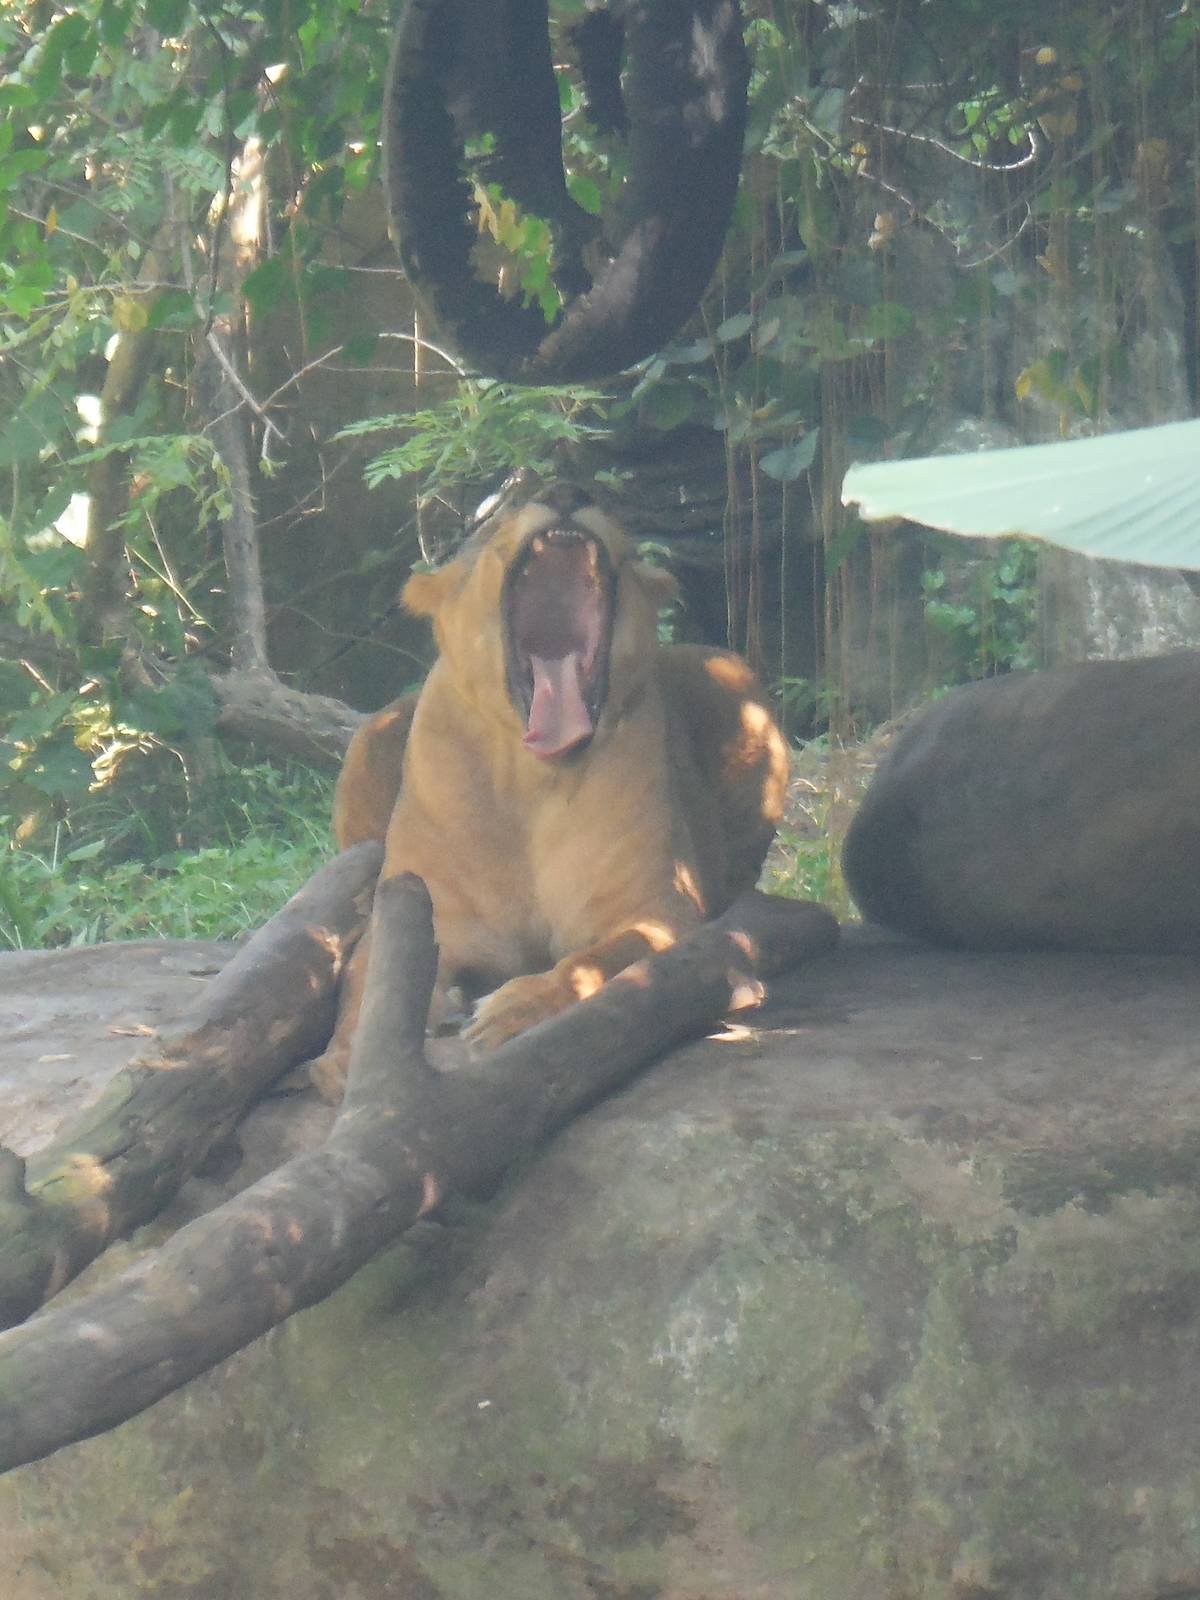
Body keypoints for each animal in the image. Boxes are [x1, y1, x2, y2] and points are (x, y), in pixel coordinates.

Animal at [313, 485, 789, 1100]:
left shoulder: (660, 912)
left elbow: (600, 959)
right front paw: (347, 1058)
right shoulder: (419, 913)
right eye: (497, 529)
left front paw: (514, 1009)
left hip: (729, 672)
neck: (528, 781)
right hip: (373, 733)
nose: (566, 491)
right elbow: (366, 985)